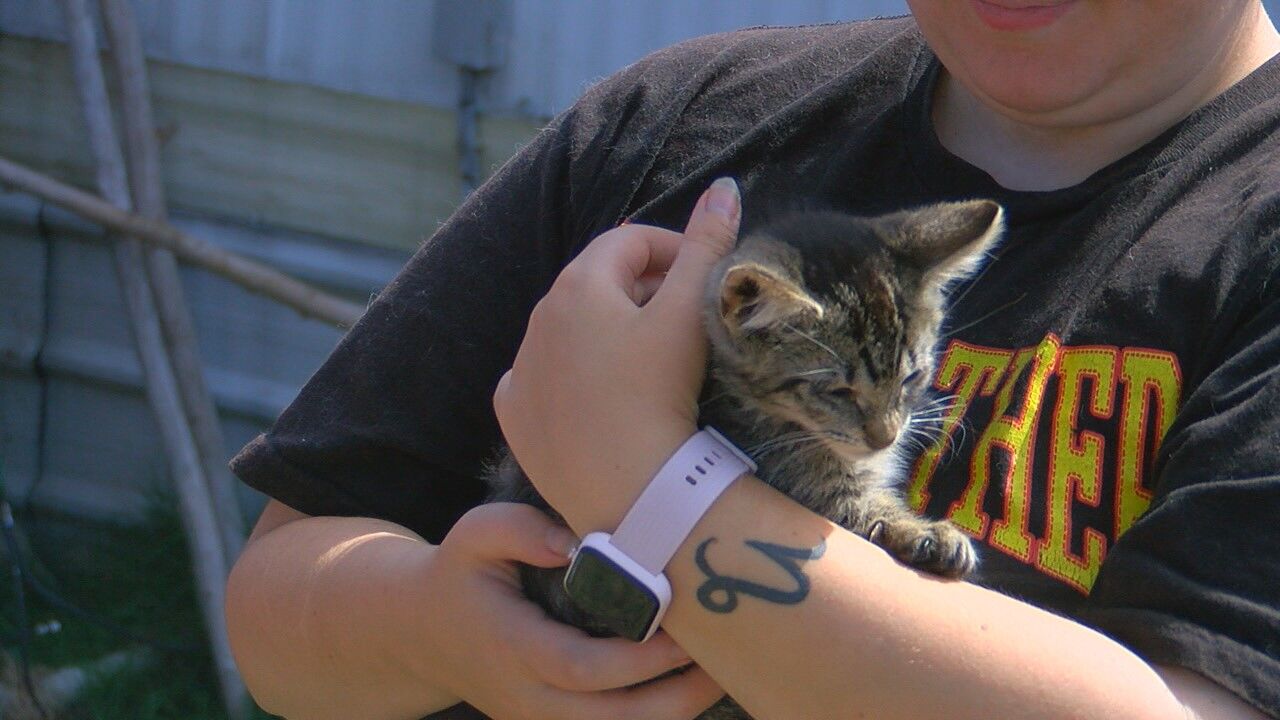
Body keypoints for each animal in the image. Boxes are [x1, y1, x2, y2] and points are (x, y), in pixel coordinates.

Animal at [483, 197, 1003, 717]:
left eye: (911, 377)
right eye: (837, 390)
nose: (885, 436)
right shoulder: (803, 484)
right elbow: (859, 512)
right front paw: (925, 534)